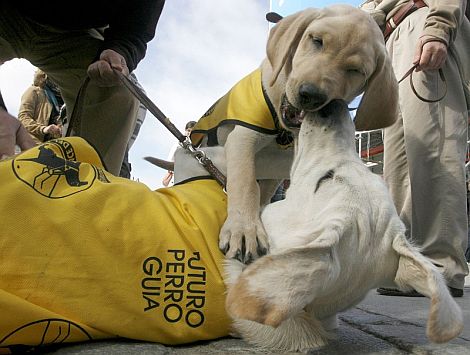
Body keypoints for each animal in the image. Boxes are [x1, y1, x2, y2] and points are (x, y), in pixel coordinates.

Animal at [189, 3, 398, 264]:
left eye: (355, 70)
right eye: (316, 40)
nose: (311, 95)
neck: (283, 133)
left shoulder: (277, 173)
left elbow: (261, 194)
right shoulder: (242, 138)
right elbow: (245, 183)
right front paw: (245, 229)